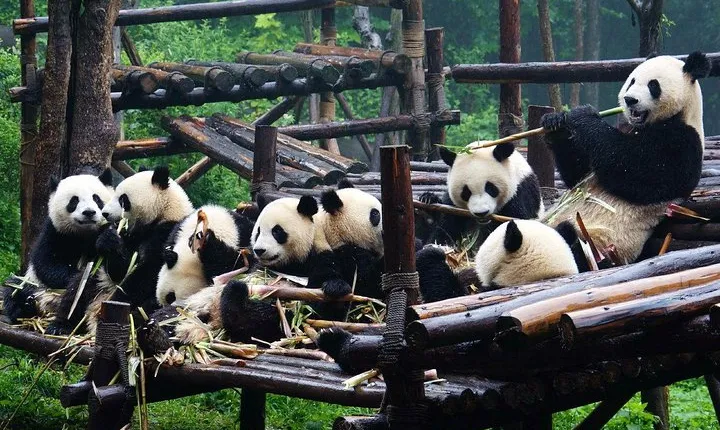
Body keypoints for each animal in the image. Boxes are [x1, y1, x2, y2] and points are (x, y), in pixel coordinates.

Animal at [1, 170, 114, 325]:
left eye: (97, 198)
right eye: (74, 201)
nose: (89, 212)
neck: (85, 233)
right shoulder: (55, 232)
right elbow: (47, 263)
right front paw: (71, 277)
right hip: (33, 283)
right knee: (15, 287)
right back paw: (26, 306)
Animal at [47, 167, 194, 335]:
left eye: (123, 199)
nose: (104, 213)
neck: (165, 211)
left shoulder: (169, 232)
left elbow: (148, 273)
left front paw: (121, 296)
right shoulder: (132, 236)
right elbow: (120, 270)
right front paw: (108, 240)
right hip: (97, 281)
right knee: (78, 289)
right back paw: (60, 326)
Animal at [541, 52, 710, 265]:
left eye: (653, 85)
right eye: (632, 81)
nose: (630, 100)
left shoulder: (683, 142)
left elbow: (636, 171)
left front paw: (583, 114)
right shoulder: (626, 127)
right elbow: (578, 175)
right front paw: (555, 122)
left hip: (600, 245)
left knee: (568, 241)